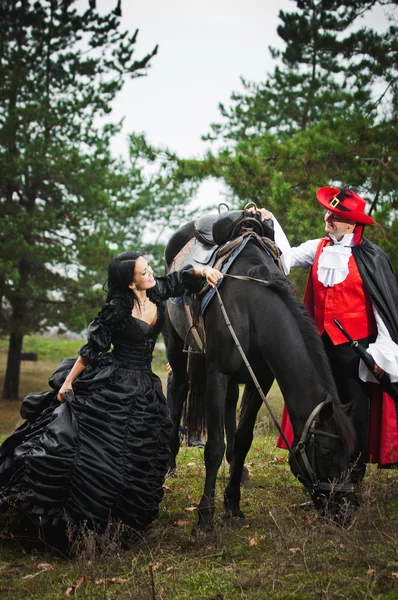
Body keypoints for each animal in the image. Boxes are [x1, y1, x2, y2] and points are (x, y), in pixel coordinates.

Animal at [166, 232, 358, 532]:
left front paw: (233, 504)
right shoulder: (217, 375)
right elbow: (214, 448)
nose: (343, 510)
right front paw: (205, 515)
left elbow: (243, 439)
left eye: (350, 452)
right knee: (178, 391)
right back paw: (170, 463)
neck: (250, 308)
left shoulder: (262, 381)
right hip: (176, 346)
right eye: (326, 452)